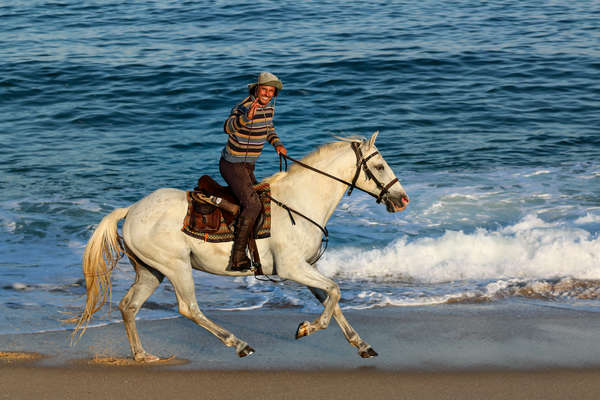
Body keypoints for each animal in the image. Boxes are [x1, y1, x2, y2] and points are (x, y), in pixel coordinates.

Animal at [70, 132, 408, 362]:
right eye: (379, 166)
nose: (402, 199)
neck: (301, 201)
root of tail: (130, 211)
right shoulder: (292, 268)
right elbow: (335, 293)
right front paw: (306, 329)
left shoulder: (307, 268)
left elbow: (332, 299)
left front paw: (361, 345)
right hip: (176, 267)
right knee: (189, 308)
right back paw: (239, 344)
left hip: (151, 272)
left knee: (129, 307)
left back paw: (142, 355)